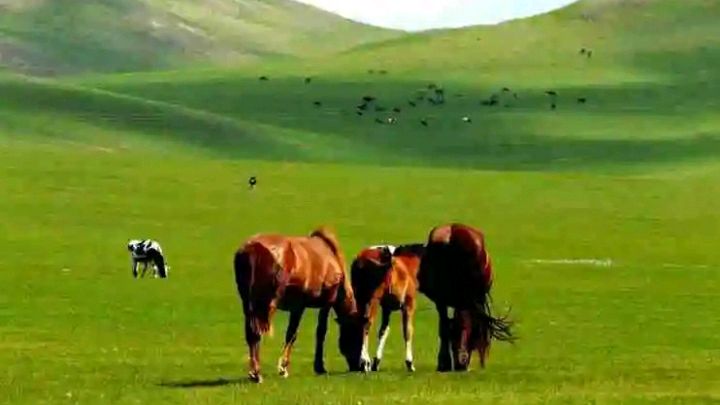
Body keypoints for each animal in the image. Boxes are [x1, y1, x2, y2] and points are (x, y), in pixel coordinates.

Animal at [232, 227, 362, 382]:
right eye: (358, 334)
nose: (360, 366)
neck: (331, 258)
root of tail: (253, 247)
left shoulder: (299, 307)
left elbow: (295, 333)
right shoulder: (319, 303)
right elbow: (312, 332)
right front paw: (290, 367)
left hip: (248, 304)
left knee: (250, 333)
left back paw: (254, 372)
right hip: (267, 305)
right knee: (256, 332)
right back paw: (257, 373)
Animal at [346, 243, 424, 372]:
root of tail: (361, 259)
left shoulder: (387, 309)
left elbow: (383, 331)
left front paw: (376, 362)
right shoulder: (408, 305)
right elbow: (407, 331)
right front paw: (409, 363)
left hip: (359, 297)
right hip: (372, 300)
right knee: (366, 324)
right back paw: (364, 361)